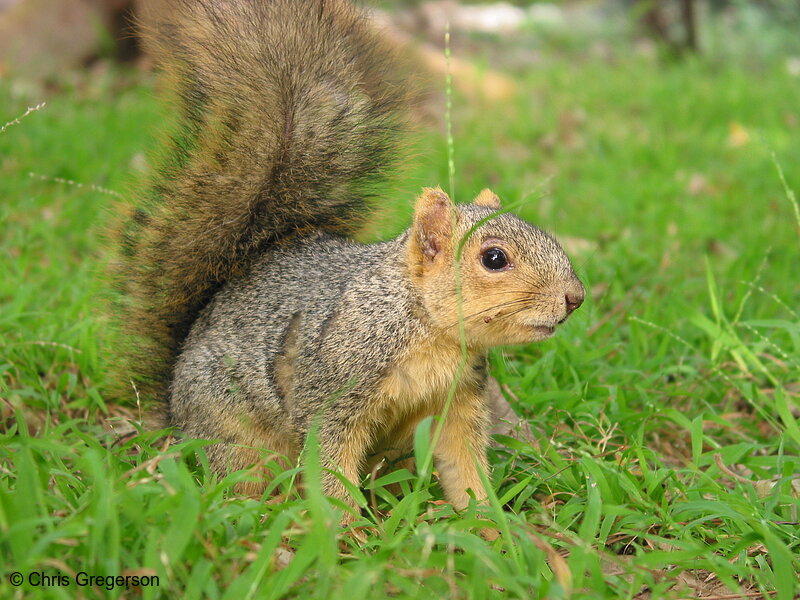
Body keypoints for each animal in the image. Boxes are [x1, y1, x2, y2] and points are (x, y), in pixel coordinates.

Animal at [115, 0, 584, 524]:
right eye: (495, 258)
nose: (575, 298)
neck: (427, 330)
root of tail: (173, 409)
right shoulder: (332, 389)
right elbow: (331, 464)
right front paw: (348, 532)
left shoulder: (457, 398)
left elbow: (462, 461)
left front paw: (490, 524)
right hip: (234, 432)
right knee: (241, 476)